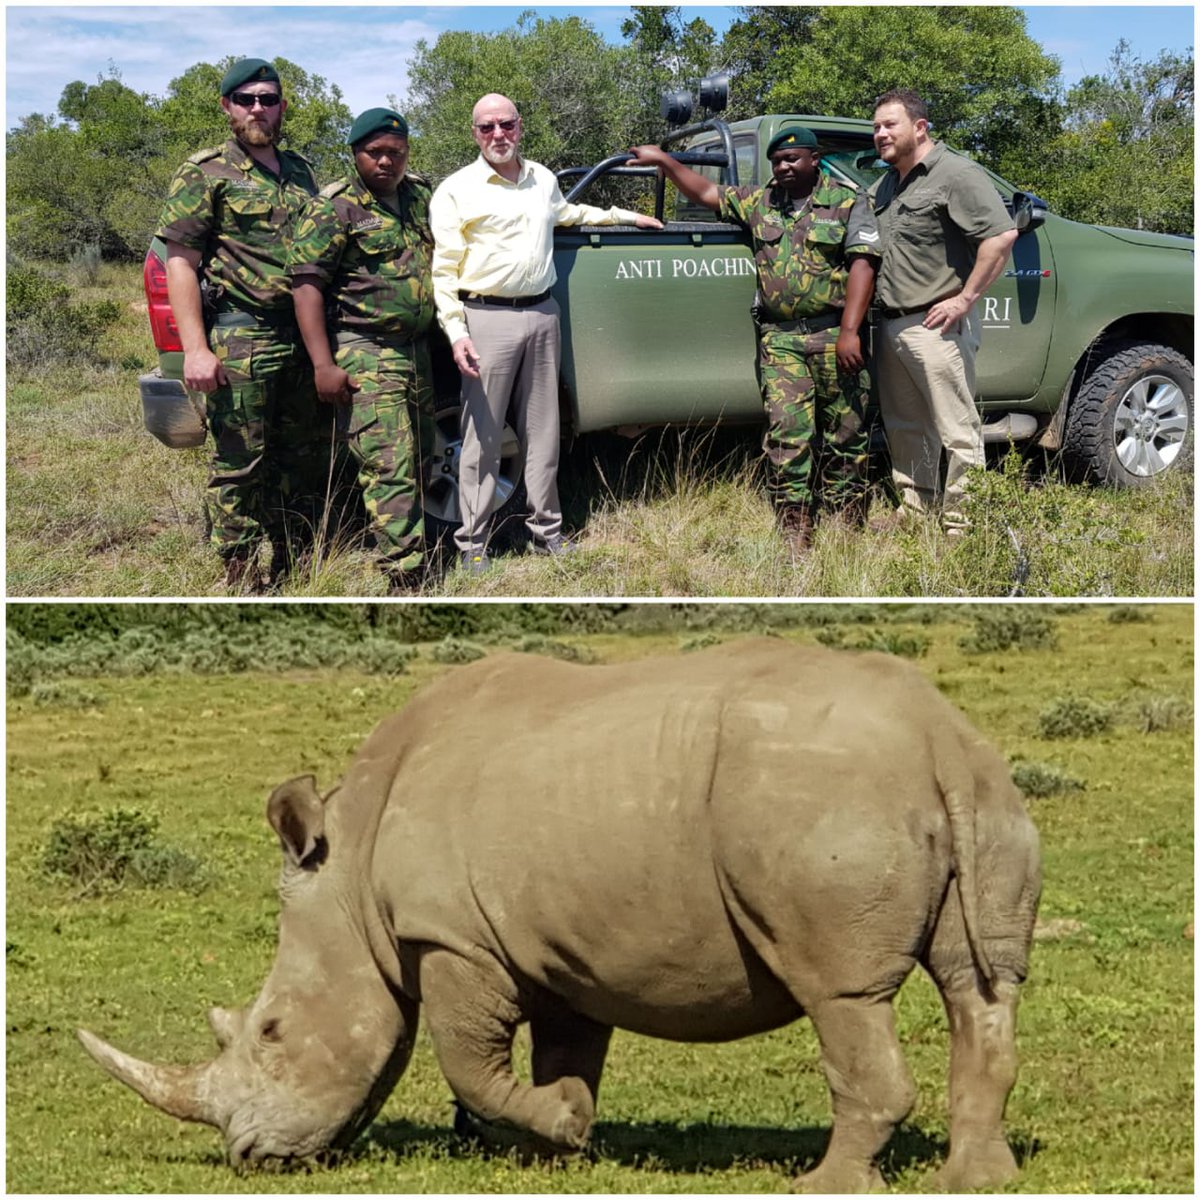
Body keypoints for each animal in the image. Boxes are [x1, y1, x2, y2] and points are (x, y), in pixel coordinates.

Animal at [79, 639, 1041, 1192]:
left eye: (272, 1031)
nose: (249, 1158)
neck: (348, 877)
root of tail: (935, 738)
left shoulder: (449, 936)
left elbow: (467, 1059)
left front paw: (554, 1129)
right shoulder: (563, 944)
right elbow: (567, 1050)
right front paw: (558, 1138)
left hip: (818, 801)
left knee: (840, 994)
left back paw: (824, 1184)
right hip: (981, 789)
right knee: (979, 988)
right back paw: (980, 1179)